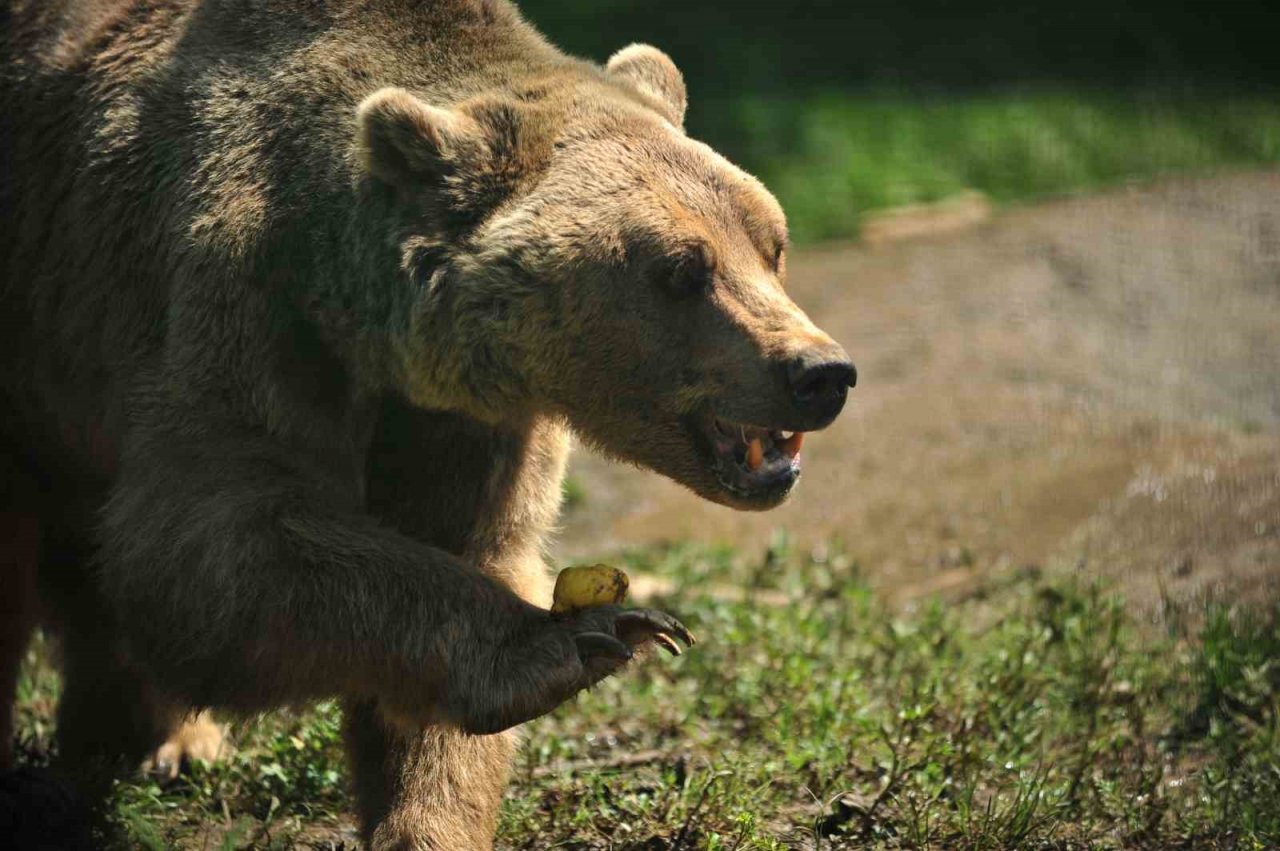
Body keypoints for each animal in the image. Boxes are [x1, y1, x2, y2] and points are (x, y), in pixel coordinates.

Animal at [2, 0, 860, 844]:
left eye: (771, 243)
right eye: (683, 268)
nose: (820, 373)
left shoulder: (466, 419)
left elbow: (457, 572)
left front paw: (428, 810)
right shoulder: (244, 318)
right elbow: (214, 545)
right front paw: (585, 636)